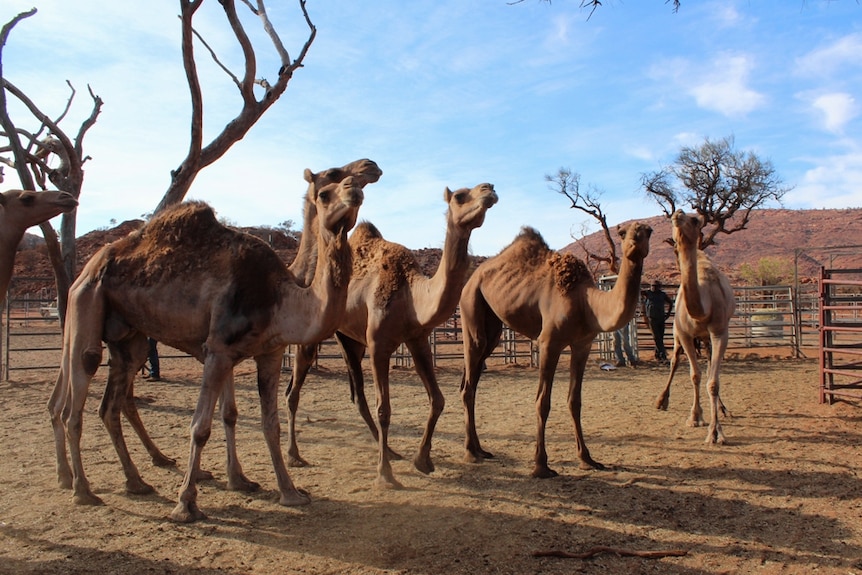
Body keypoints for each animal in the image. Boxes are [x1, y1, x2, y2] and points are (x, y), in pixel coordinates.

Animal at [48, 178, 364, 524]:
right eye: (325, 193)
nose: (355, 189)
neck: (280, 298)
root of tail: (89, 266)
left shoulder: (270, 352)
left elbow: (269, 424)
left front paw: (289, 492)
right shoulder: (218, 349)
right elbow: (200, 427)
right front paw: (186, 505)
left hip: (129, 337)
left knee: (110, 403)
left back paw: (136, 482)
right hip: (86, 301)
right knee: (77, 390)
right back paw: (83, 490)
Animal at [89, 161, 384, 482]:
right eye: (332, 174)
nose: (371, 167)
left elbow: (228, 413)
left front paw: (234, 477)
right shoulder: (219, 346)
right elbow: (223, 412)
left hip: (132, 335)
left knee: (122, 396)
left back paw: (158, 459)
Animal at [284, 182, 500, 488]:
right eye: (459, 196)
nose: (489, 188)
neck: (412, 296)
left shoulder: (418, 339)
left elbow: (437, 399)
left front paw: (422, 460)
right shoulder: (379, 345)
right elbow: (384, 409)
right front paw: (385, 475)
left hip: (350, 339)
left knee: (357, 396)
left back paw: (391, 451)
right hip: (317, 334)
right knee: (294, 391)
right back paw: (295, 456)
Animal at [462, 223, 652, 480]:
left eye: (649, 231)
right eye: (622, 232)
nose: (635, 243)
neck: (585, 302)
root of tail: (472, 278)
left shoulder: (582, 345)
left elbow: (575, 401)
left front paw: (587, 459)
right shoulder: (549, 343)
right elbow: (542, 402)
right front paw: (541, 466)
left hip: (491, 326)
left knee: (472, 380)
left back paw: (480, 449)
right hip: (471, 305)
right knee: (469, 381)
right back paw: (471, 453)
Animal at [660, 212, 740, 446]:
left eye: (695, 220)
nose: (677, 214)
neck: (703, 308)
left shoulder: (720, 331)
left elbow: (712, 381)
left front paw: (716, 432)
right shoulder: (685, 334)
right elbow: (694, 375)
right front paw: (695, 417)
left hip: (706, 337)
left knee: (709, 363)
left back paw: (723, 409)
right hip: (677, 334)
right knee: (675, 360)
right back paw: (662, 401)